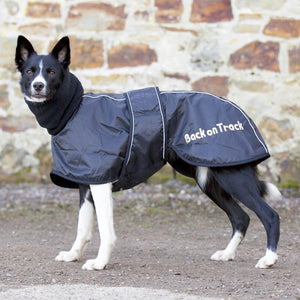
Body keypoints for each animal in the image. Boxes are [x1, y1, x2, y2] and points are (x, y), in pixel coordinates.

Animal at [14, 36, 282, 270]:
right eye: (29, 71)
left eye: (51, 72)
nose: (38, 85)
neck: (73, 109)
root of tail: (241, 112)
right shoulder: (86, 184)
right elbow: (83, 228)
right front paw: (73, 255)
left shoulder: (101, 184)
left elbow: (105, 230)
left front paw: (100, 263)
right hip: (209, 180)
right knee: (241, 218)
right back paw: (227, 254)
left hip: (233, 177)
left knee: (270, 216)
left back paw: (269, 259)